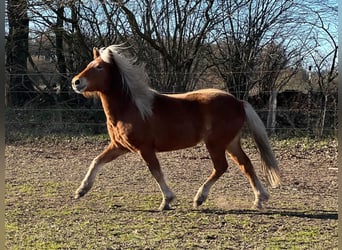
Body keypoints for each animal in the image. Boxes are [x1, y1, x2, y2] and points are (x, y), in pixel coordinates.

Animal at [70, 45, 280, 211]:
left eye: (99, 66)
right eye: (89, 64)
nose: (76, 82)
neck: (132, 107)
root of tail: (238, 102)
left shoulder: (145, 148)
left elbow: (155, 172)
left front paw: (167, 200)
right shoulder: (119, 146)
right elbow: (97, 161)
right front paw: (81, 190)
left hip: (216, 144)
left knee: (221, 167)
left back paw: (199, 198)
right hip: (231, 143)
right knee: (246, 165)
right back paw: (259, 199)